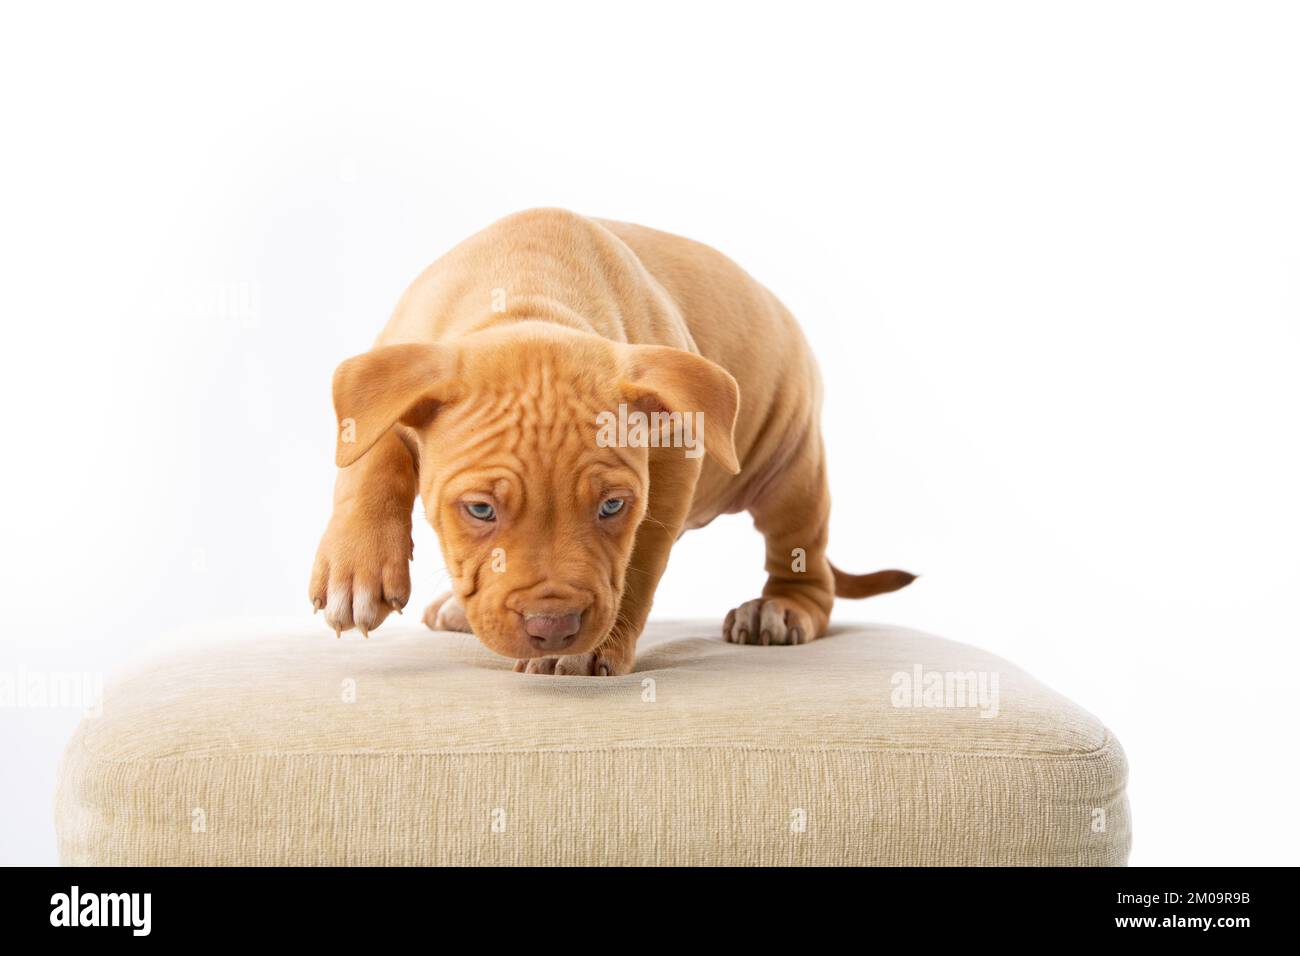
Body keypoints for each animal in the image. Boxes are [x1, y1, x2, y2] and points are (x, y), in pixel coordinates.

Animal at [308, 209, 909, 671]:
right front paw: (356, 570)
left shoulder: (671, 462)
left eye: (613, 507)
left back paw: (780, 610)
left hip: (791, 464)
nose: (553, 626)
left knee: (804, 555)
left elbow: (638, 562)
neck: (529, 298)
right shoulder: (396, 373)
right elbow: (369, 457)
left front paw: (588, 651)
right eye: (479, 510)